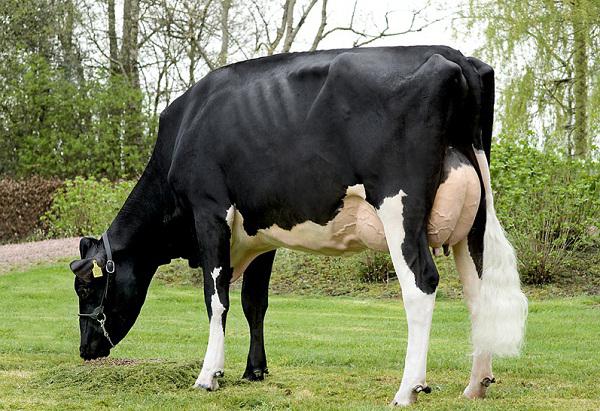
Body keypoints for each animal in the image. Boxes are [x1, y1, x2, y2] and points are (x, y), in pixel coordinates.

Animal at [70, 46, 528, 408]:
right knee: (477, 292)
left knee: (421, 284)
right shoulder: (261, 233)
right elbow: (254, 303)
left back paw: (407, 389)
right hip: (473, 219)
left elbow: (216, 298)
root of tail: (454, 57)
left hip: (400, 208)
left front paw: (208, 375)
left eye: (88, 288)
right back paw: (476, 384)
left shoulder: (210, 211)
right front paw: (254, 371)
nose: (85, 350)